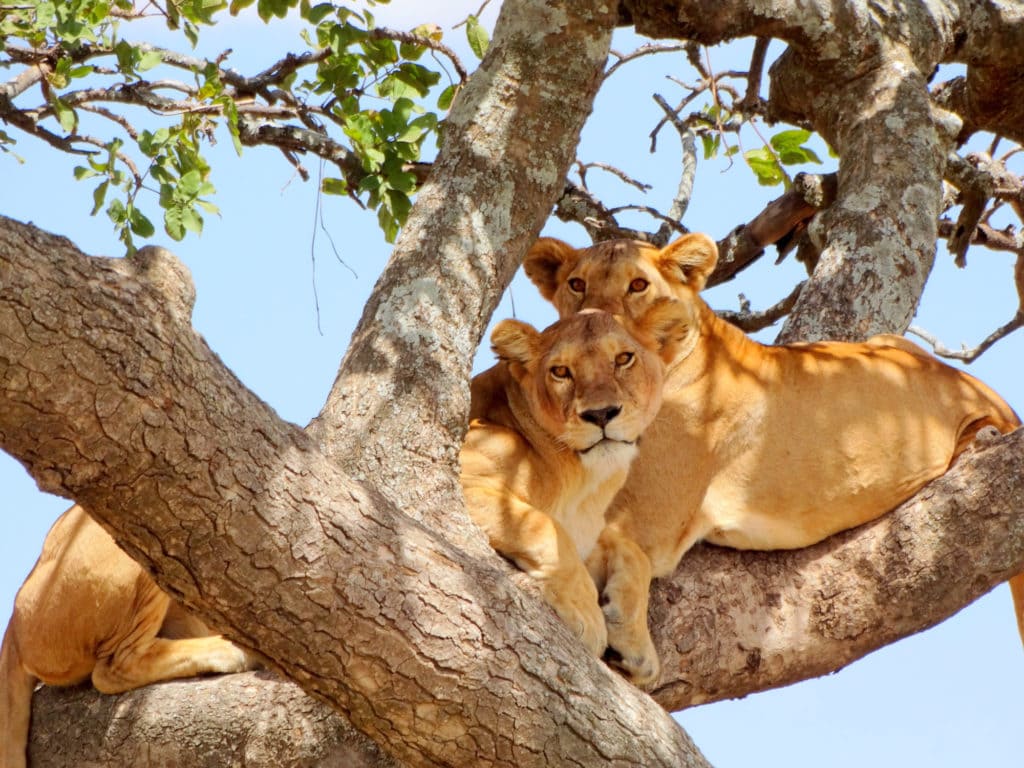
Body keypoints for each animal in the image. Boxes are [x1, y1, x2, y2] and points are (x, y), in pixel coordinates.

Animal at [462, 303, 688, 659]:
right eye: (561, 371)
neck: (584, 484)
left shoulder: (590, 528)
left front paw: (637, 645)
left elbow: (632, 551)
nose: (601, 414)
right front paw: (587, 615)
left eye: (623, 358)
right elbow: (546, 529)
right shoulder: (462, 473)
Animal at [524, 233, 1019, 684]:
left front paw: (633, 646)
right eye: (577, 284)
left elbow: (619, 549)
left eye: (638, 286)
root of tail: (989, 392)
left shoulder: (650, 526)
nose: (594, 321)